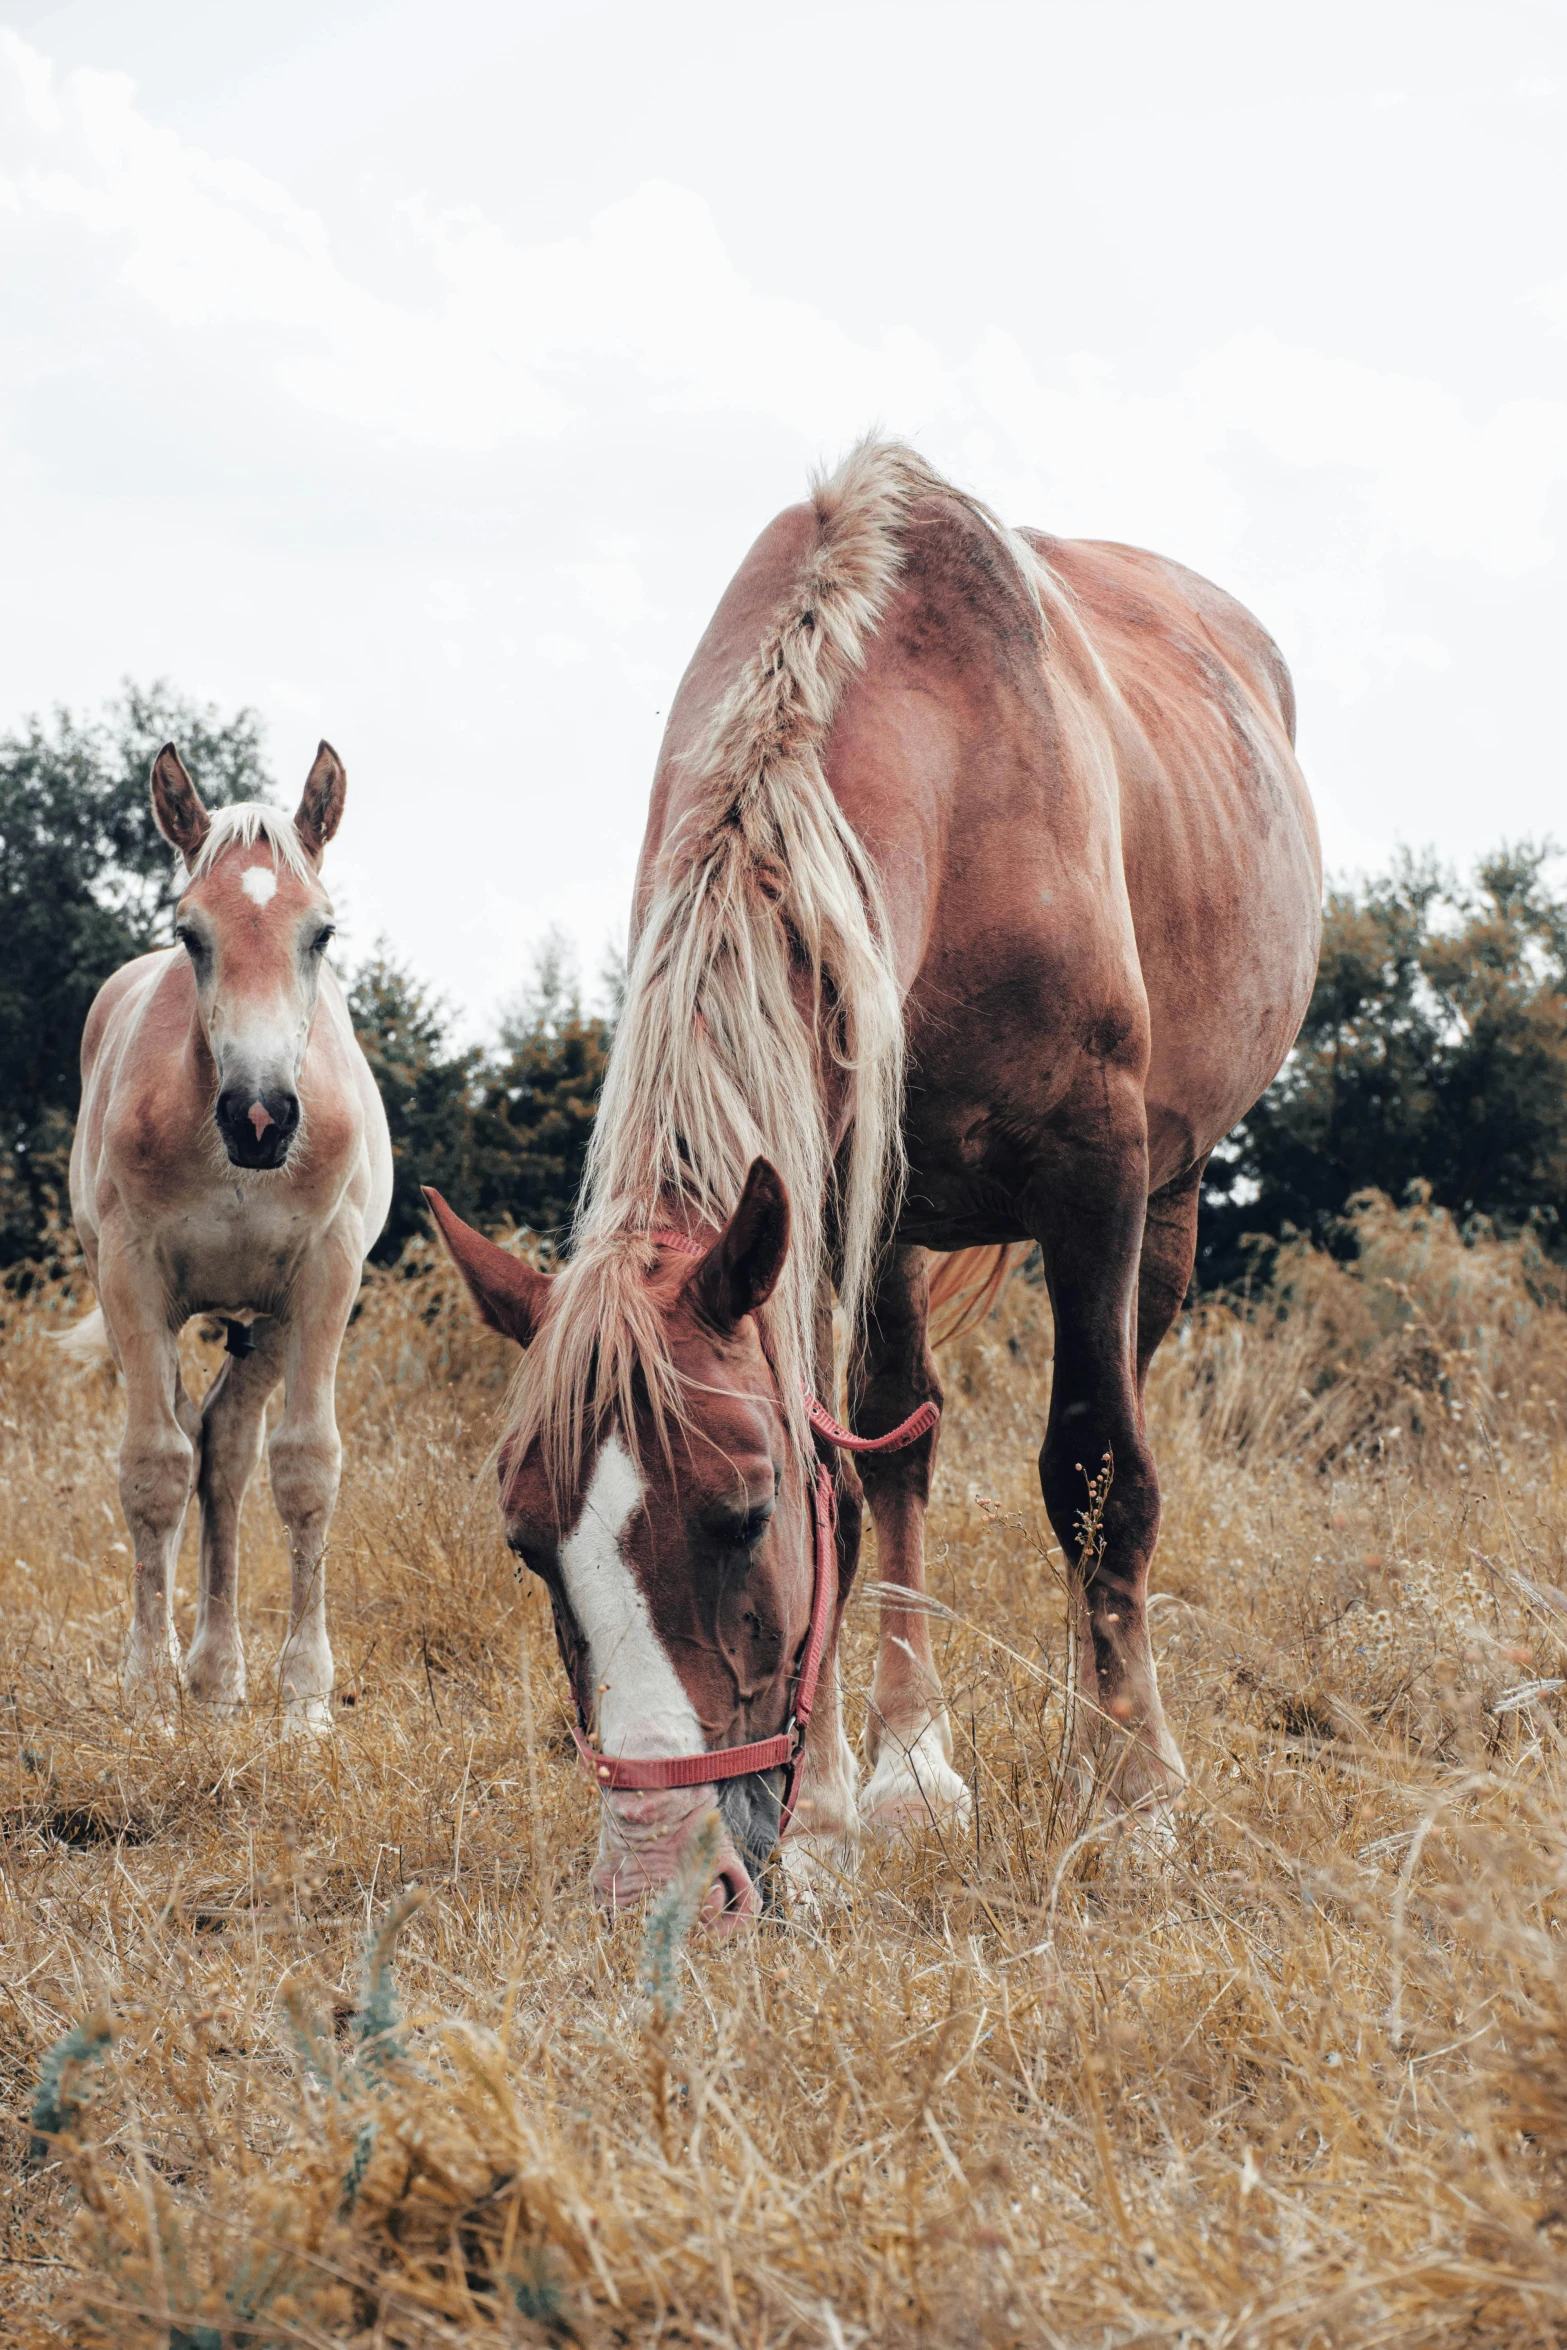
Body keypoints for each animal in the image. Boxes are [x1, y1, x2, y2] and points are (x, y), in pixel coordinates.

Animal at [69, 742, 392, 1738]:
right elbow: (151, 1470)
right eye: (191, 934)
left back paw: (218, 1673)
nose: (260, 1115)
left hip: (269, 1323)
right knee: (189, 1440)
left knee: (229, 1448)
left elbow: (304, 1467)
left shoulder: (325, 1278)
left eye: (320, 933)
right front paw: (147, 1693)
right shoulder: (132, 1277)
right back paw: (193, 1669)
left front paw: (306, 1704)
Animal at [432, 432, 1325, 1917]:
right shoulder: (816, 1196)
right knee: (899, 1436)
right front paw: (835, 1818)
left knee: (1106, 1448)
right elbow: (849, 1488)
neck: (959, 778)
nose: (655, 1870)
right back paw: (913, 1766)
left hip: (1166, 1195)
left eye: (738, 1516)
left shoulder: (1095, 1171)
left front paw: (1133, 1801)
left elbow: (1097, 1469)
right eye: (523, 1538)